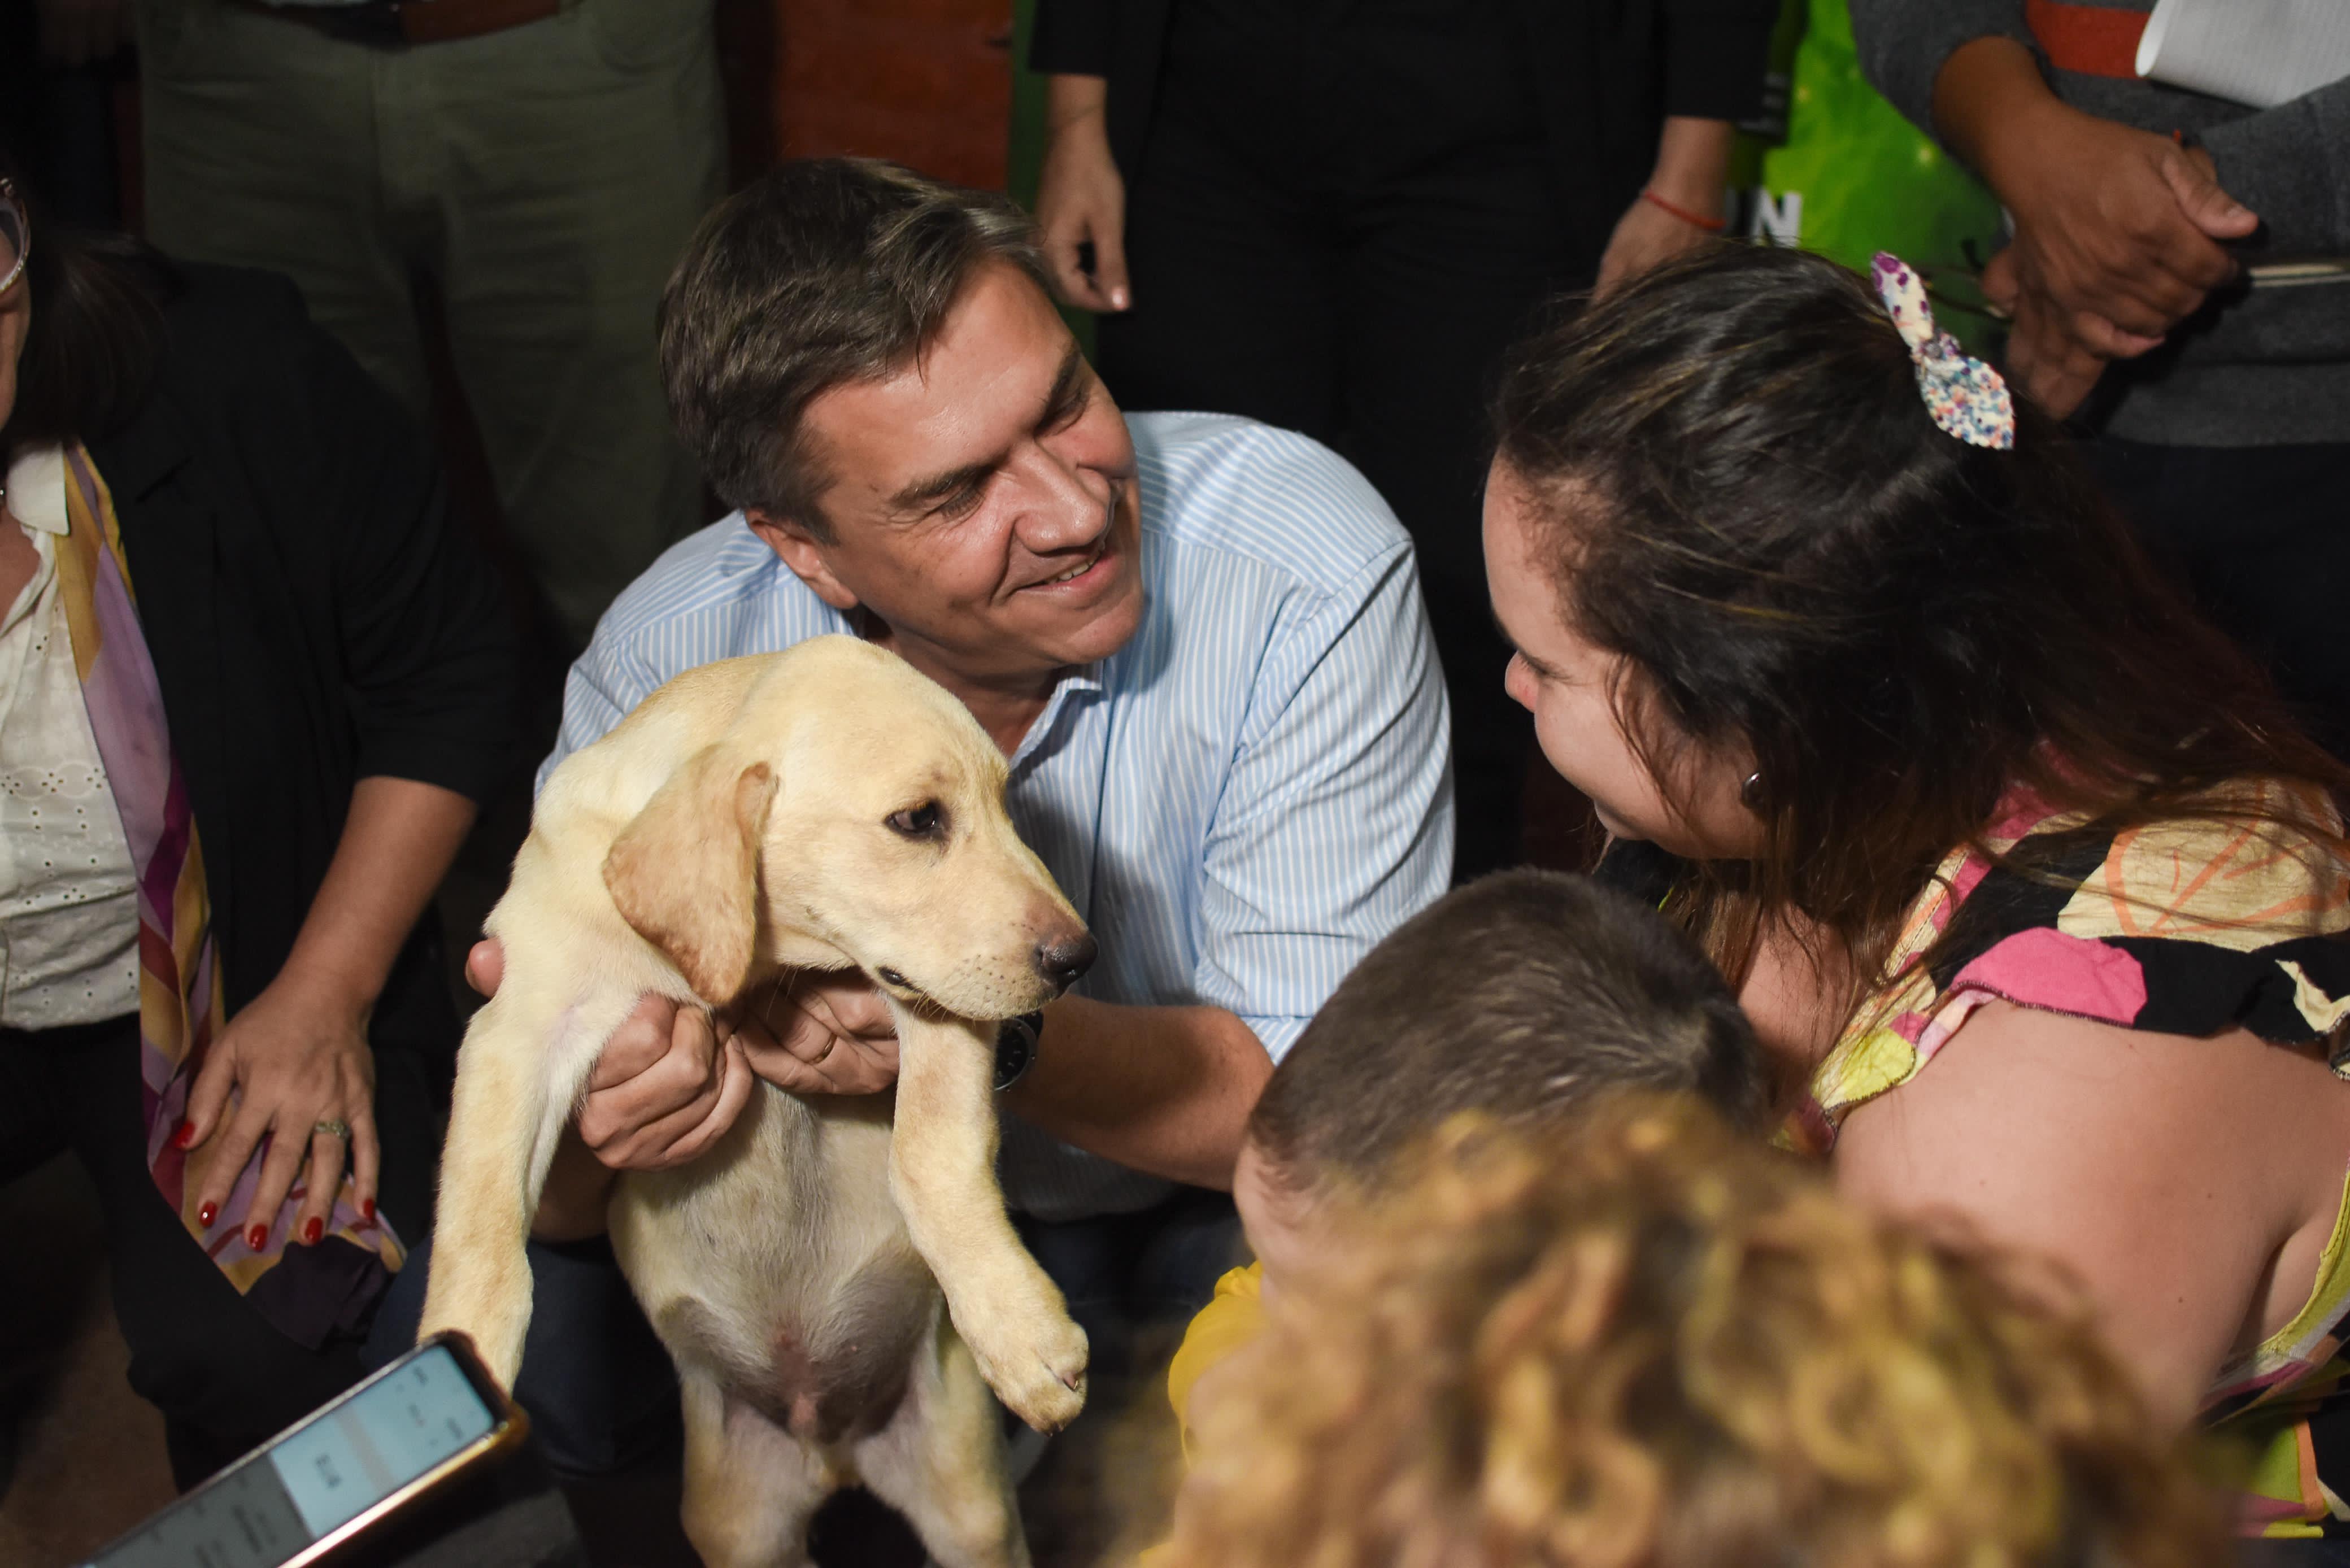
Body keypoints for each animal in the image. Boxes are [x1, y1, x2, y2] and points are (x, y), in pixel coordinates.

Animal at [416, 639, 1090, 1568]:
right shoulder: (518, 1027)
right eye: (918, 820)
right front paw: (460, 1358)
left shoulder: (937, 1003)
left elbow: (928, 1156)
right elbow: (480, 1227)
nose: (1079, 960)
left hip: (974, 1514)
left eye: (1005, 803)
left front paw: (1019, 1332)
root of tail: (831, 1452)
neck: (763, 963)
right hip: (739, 1531)